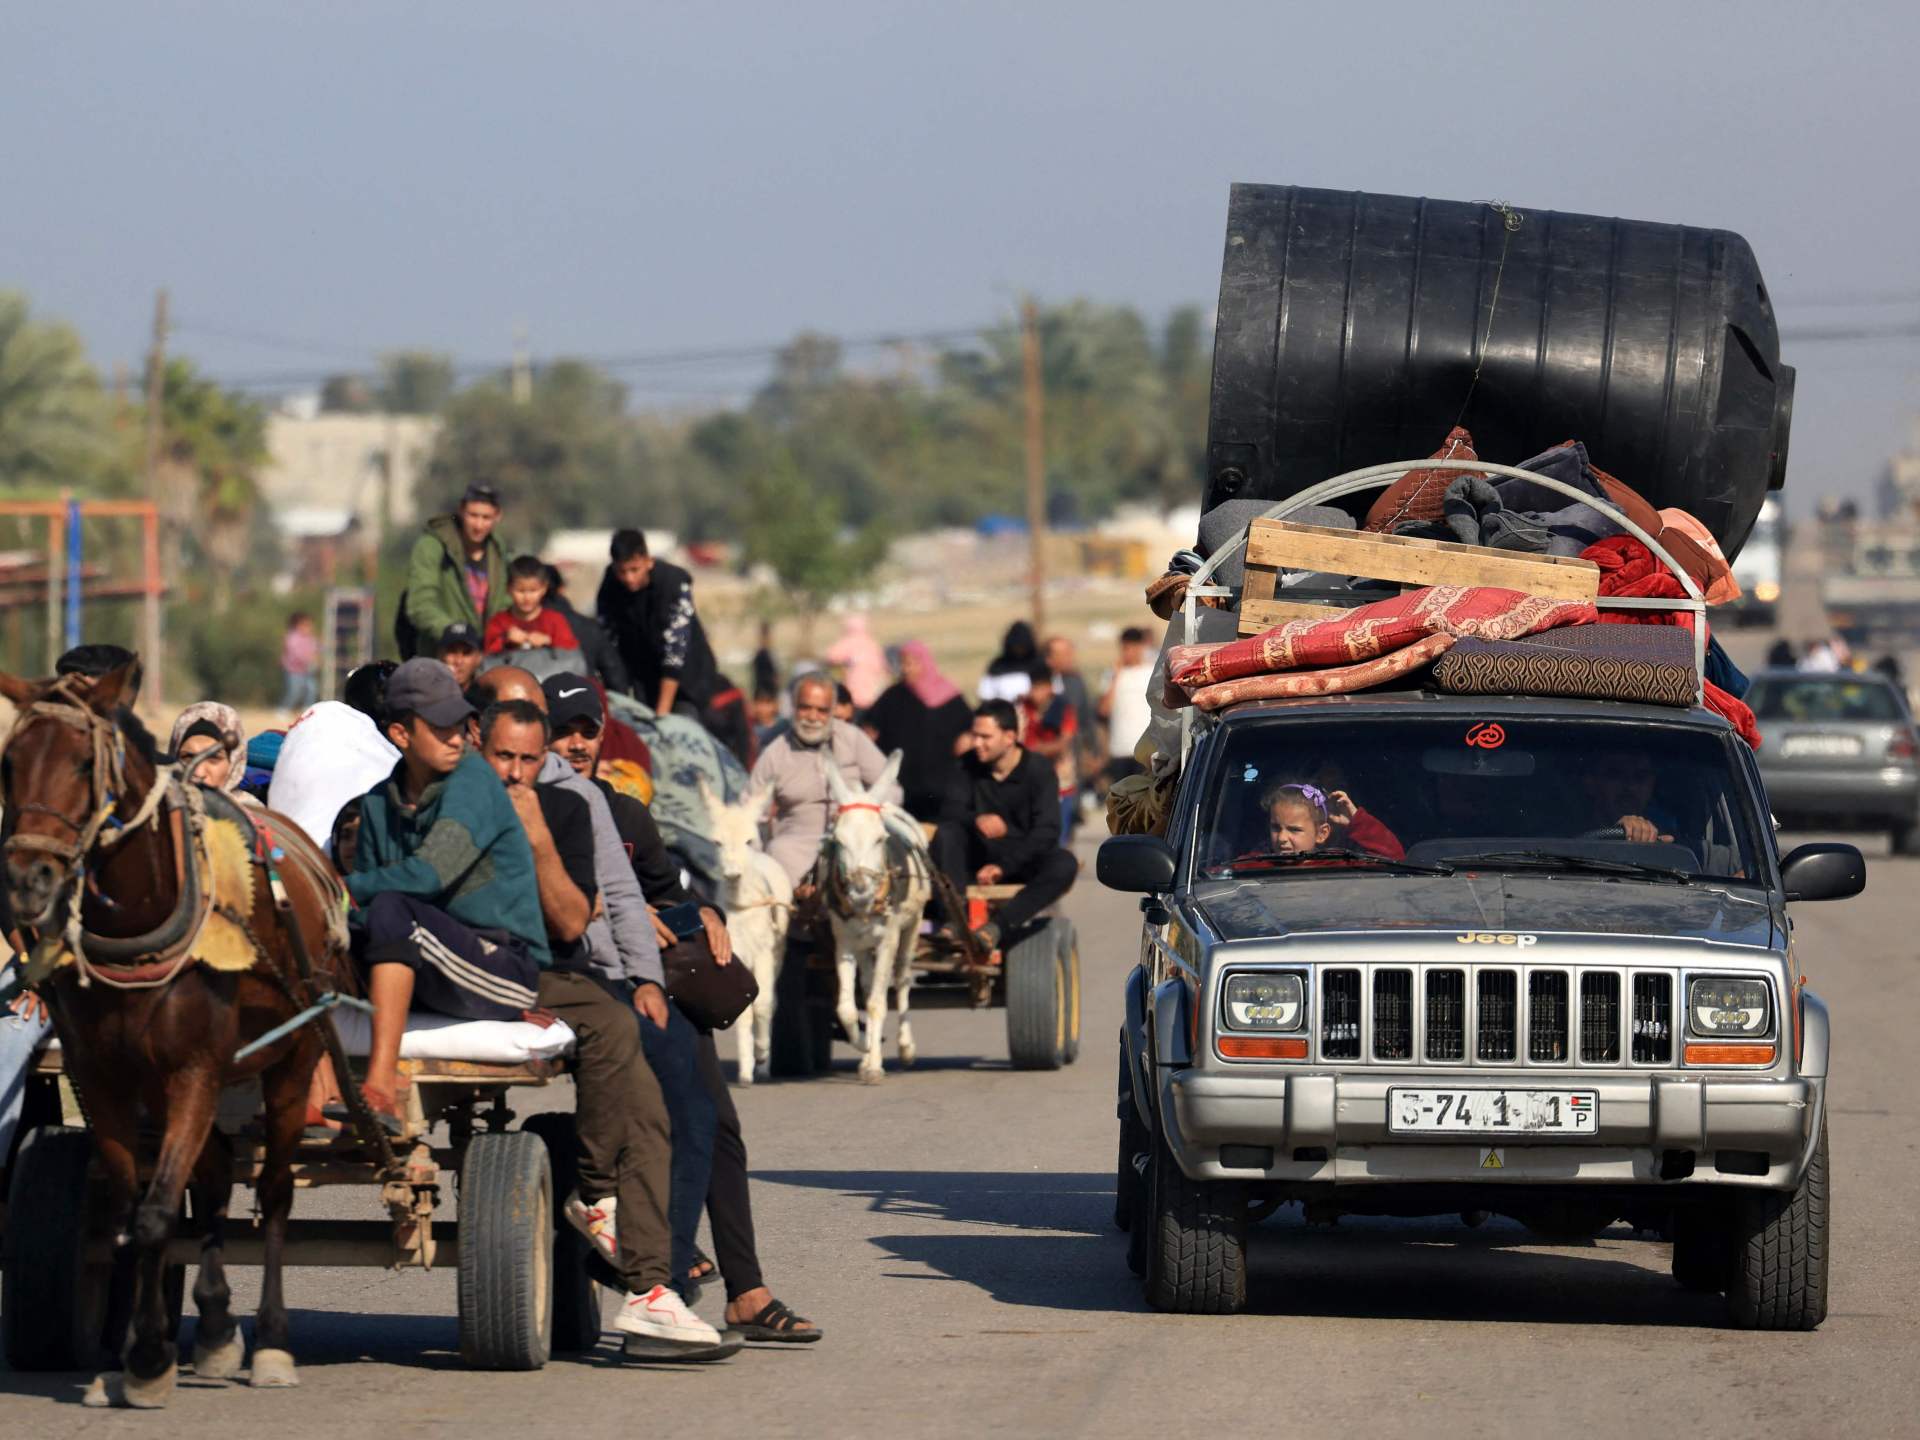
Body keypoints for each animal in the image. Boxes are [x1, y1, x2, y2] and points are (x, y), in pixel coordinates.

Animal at [0, 664, 357, 1413]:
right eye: (9, 762)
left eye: (84, 764)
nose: (27, 881)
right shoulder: (104, 1075)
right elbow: (132, 1213)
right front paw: (143, 1347)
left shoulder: (194, 1067)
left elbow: (159, 1213)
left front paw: (147, 1359)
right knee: (215, 1177)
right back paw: (217, 1326)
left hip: (293, 1059)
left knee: (274, 1190)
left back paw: (271, 1342)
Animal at [698, 779, 787, 1082]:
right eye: (717, 842)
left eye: (749, 840)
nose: (733, 873)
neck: (742, 905)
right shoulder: (735, 952)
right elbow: (744, 1010)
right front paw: (747, 1069)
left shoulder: (763, 952)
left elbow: (763, 1004)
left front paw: (762, 1053)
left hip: (777, 955)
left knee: (772, 1001)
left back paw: (765, 1063)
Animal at [817, 756, 929, 1082]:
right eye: (837, 840)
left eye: (880, 839)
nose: (860, 892)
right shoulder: (844, 942)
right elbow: (847, 1007)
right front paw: (864, 1047)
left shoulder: (888, 938)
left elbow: (879, 1003)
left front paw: (875, 1066)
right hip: (864, 945)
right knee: (867, 987)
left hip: (911, 926)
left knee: (902, 979)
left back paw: (906, 1048)